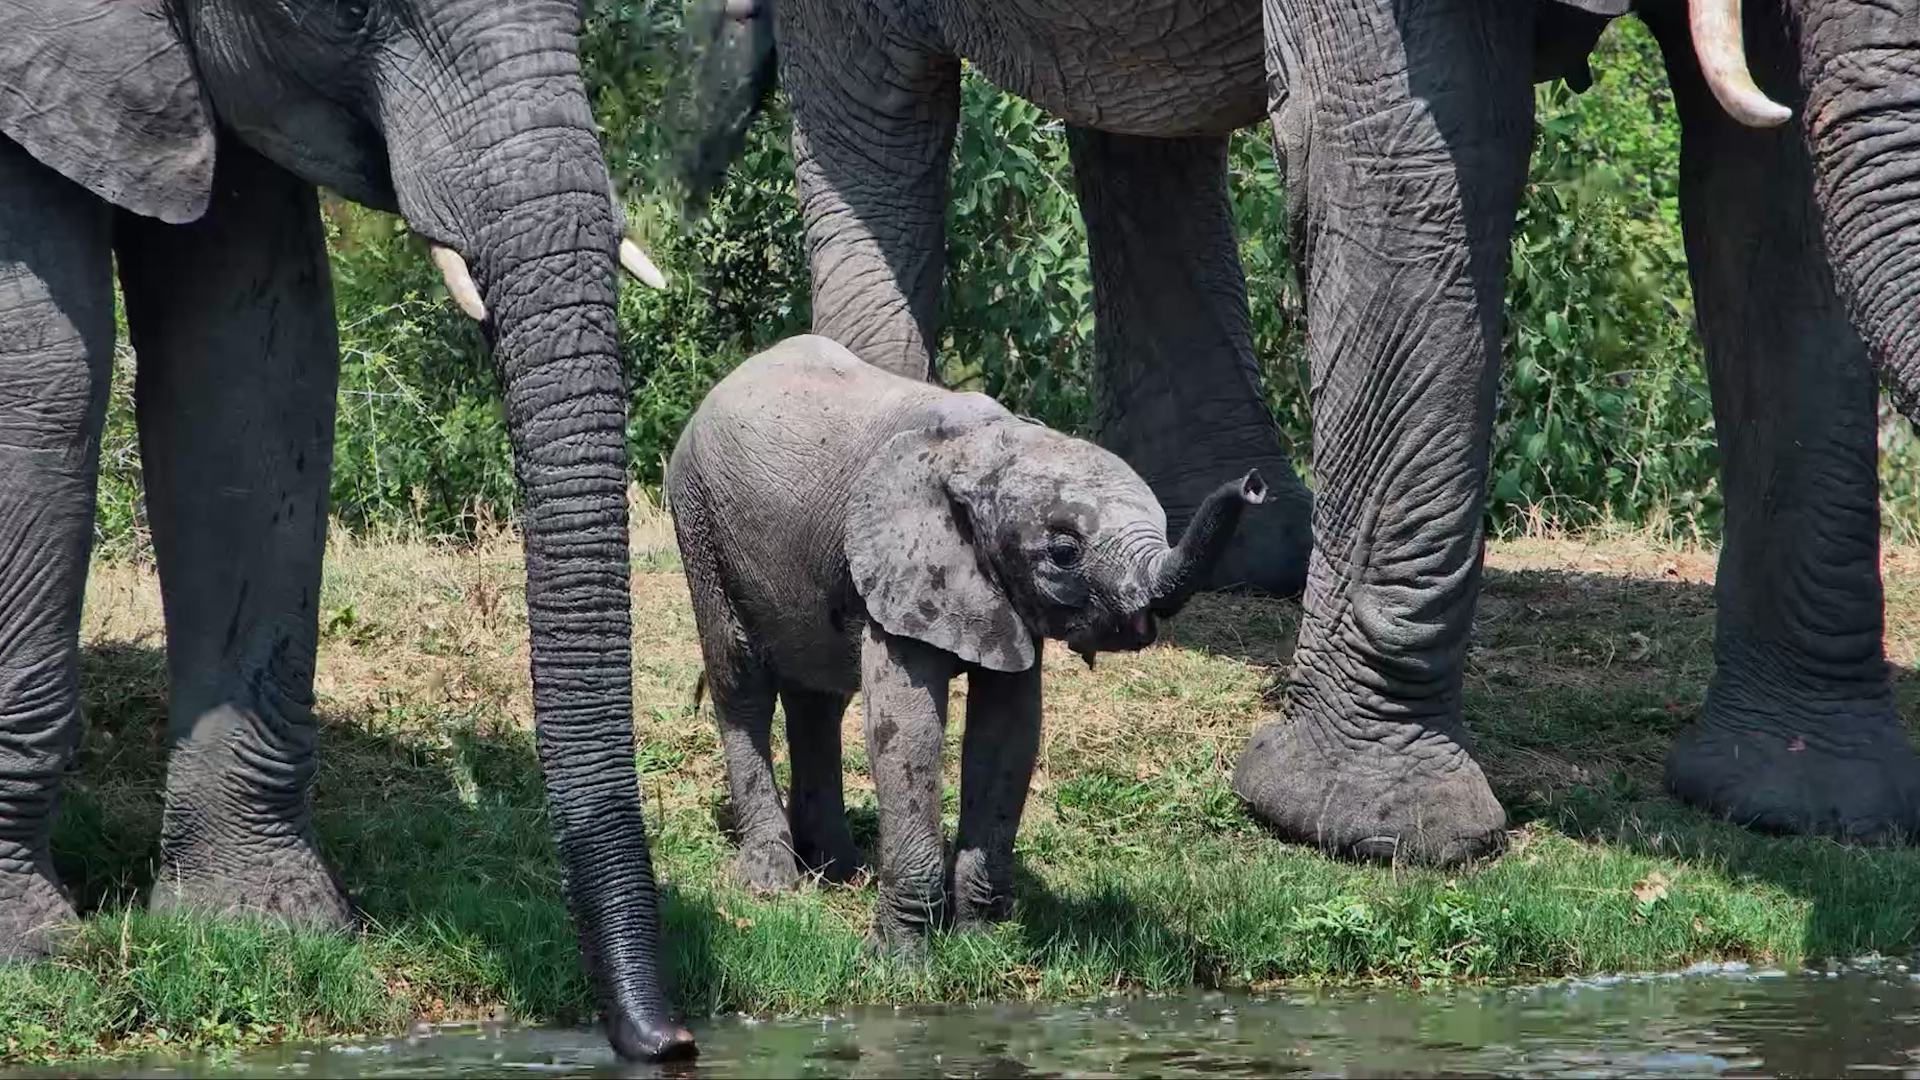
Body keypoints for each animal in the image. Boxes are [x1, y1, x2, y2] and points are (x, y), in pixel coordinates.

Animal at [0, 0, 691, 1061]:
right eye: (350, 12)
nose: (672, 1043)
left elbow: (253, 367)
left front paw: (265, 933)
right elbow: (39, 374)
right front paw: (31, 955)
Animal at [666, 334, 1263, 942]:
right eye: (1064, 552)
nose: (1254, 484)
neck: (980, 450)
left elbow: (1008, 729)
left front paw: (983, 938)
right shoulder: (900, 568)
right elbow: (908, 729)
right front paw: (903, 954)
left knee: (820, 699)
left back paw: (840, 871)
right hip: (700, 522)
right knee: (742, 684)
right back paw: (772, 880)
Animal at [682, 0, 1920, 864]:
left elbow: (1772, 190)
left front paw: (1807, 806)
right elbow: (1416, 166)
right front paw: (1363, 829)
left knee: (1135, 124)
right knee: (879, 93)